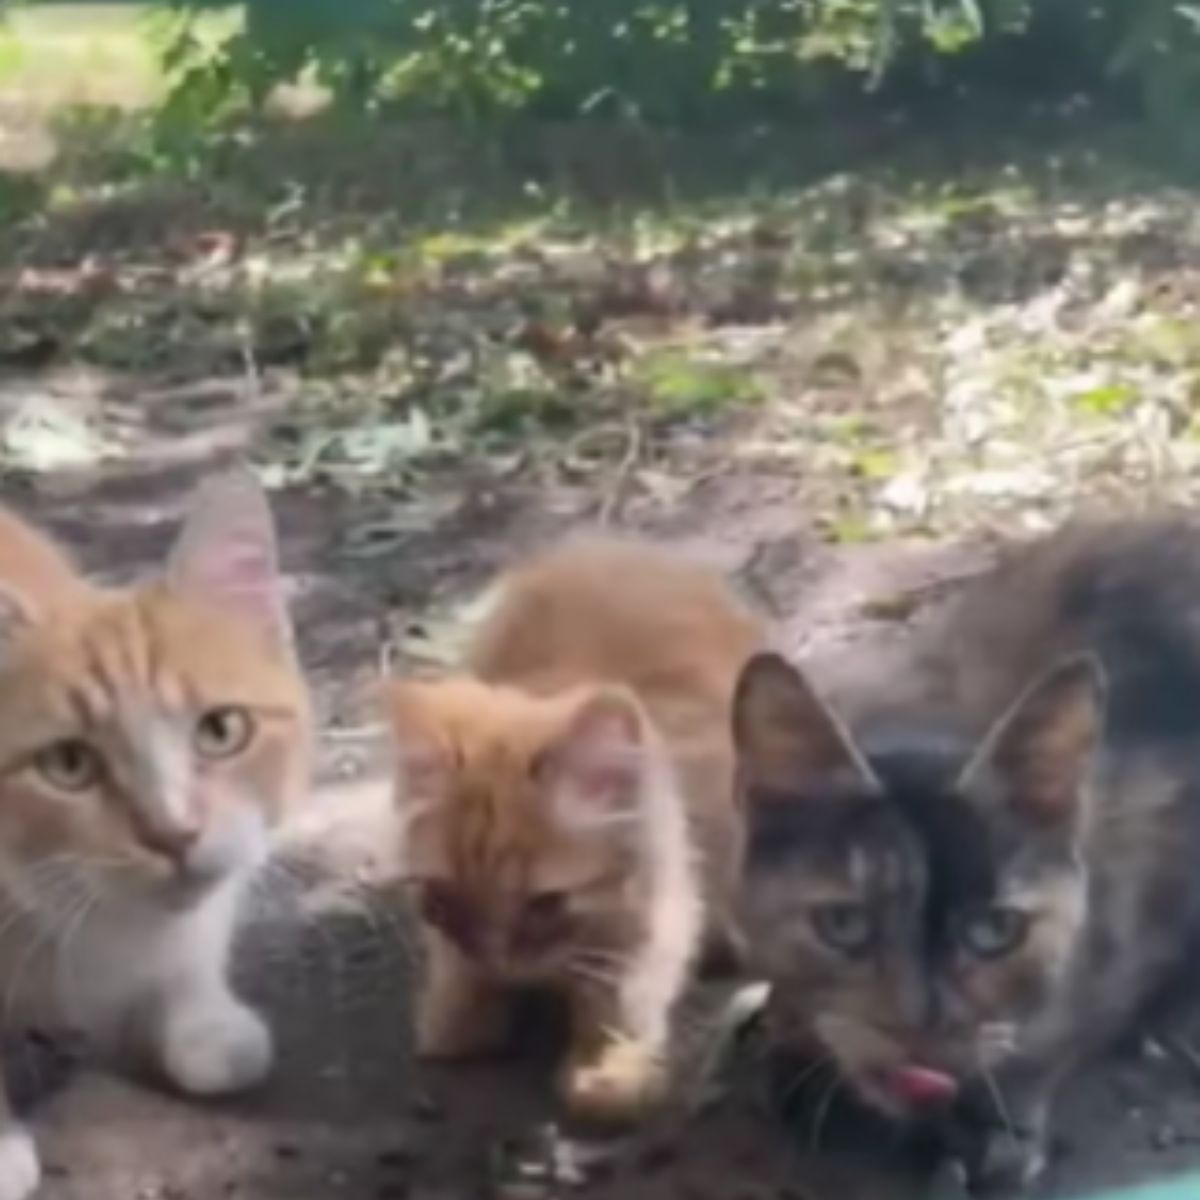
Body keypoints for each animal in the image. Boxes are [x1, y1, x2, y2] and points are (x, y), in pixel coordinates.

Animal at [386, 540, 758, 1118]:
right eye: (442, 900)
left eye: (546, 904)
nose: (500, 964)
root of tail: (610, 545)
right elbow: (453, 975)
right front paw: (460, 1011)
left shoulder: (660, 907)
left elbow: (622, 996)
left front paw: (609, 1067)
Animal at [729, 520, 1200, 1195]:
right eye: (842, 925)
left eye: (994, 931)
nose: (918, 1028)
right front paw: (791, 1041)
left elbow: (1060, 1030)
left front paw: (997, 1116)